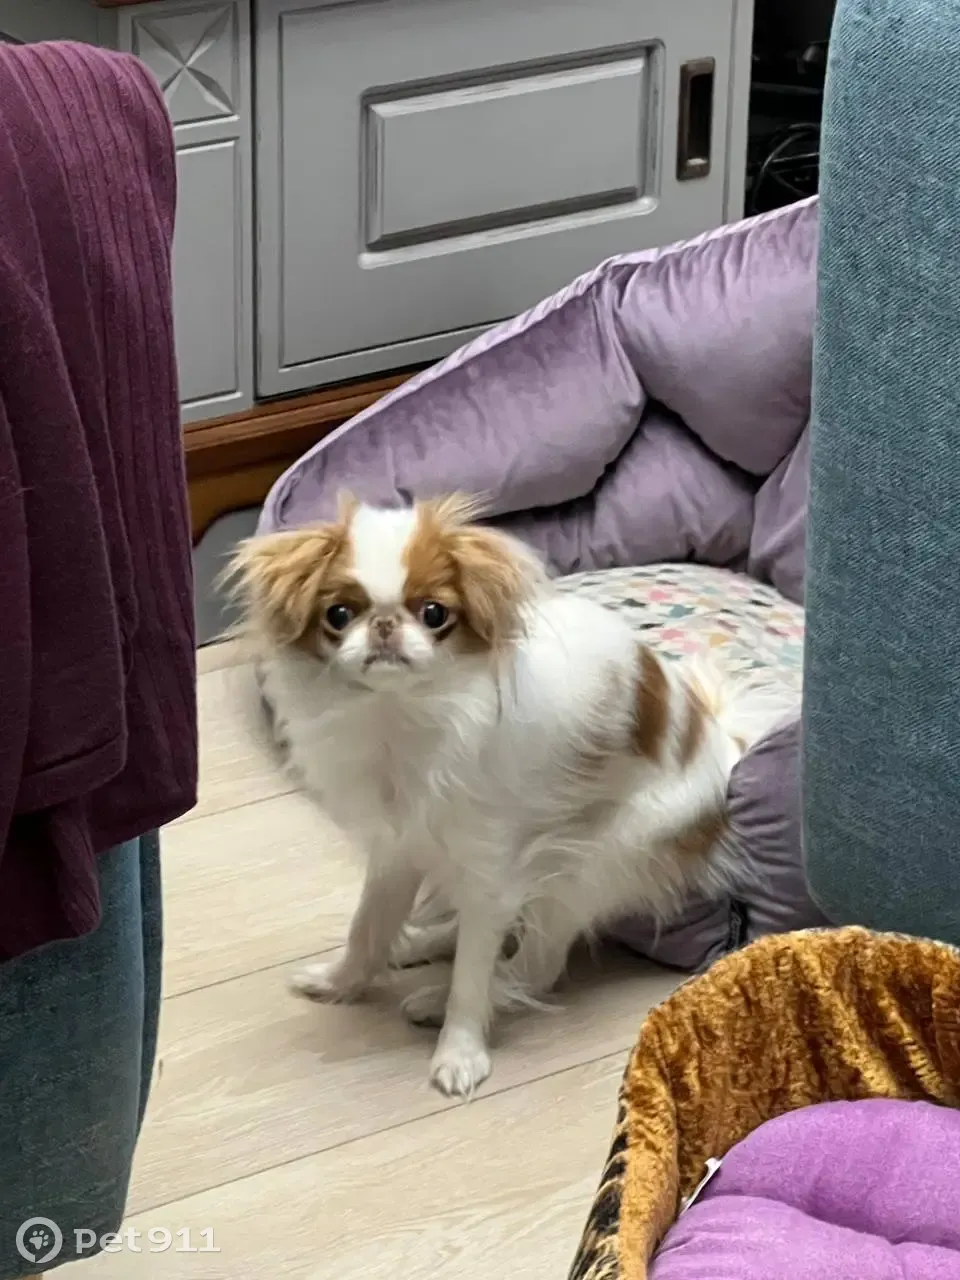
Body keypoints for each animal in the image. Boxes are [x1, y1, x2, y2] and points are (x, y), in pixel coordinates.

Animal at [228, 494, 793, 1099]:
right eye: (338, 615)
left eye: (434, 614)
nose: (383, 626)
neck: (401, 713)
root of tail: (723, 744)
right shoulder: (399, 846)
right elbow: (369, 925)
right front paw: (342, 981)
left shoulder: (491, 867)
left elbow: (473, 977)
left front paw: (459, 1053)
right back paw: (420, 945)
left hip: (591, 861)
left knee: (537, 965)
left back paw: (438, 997)